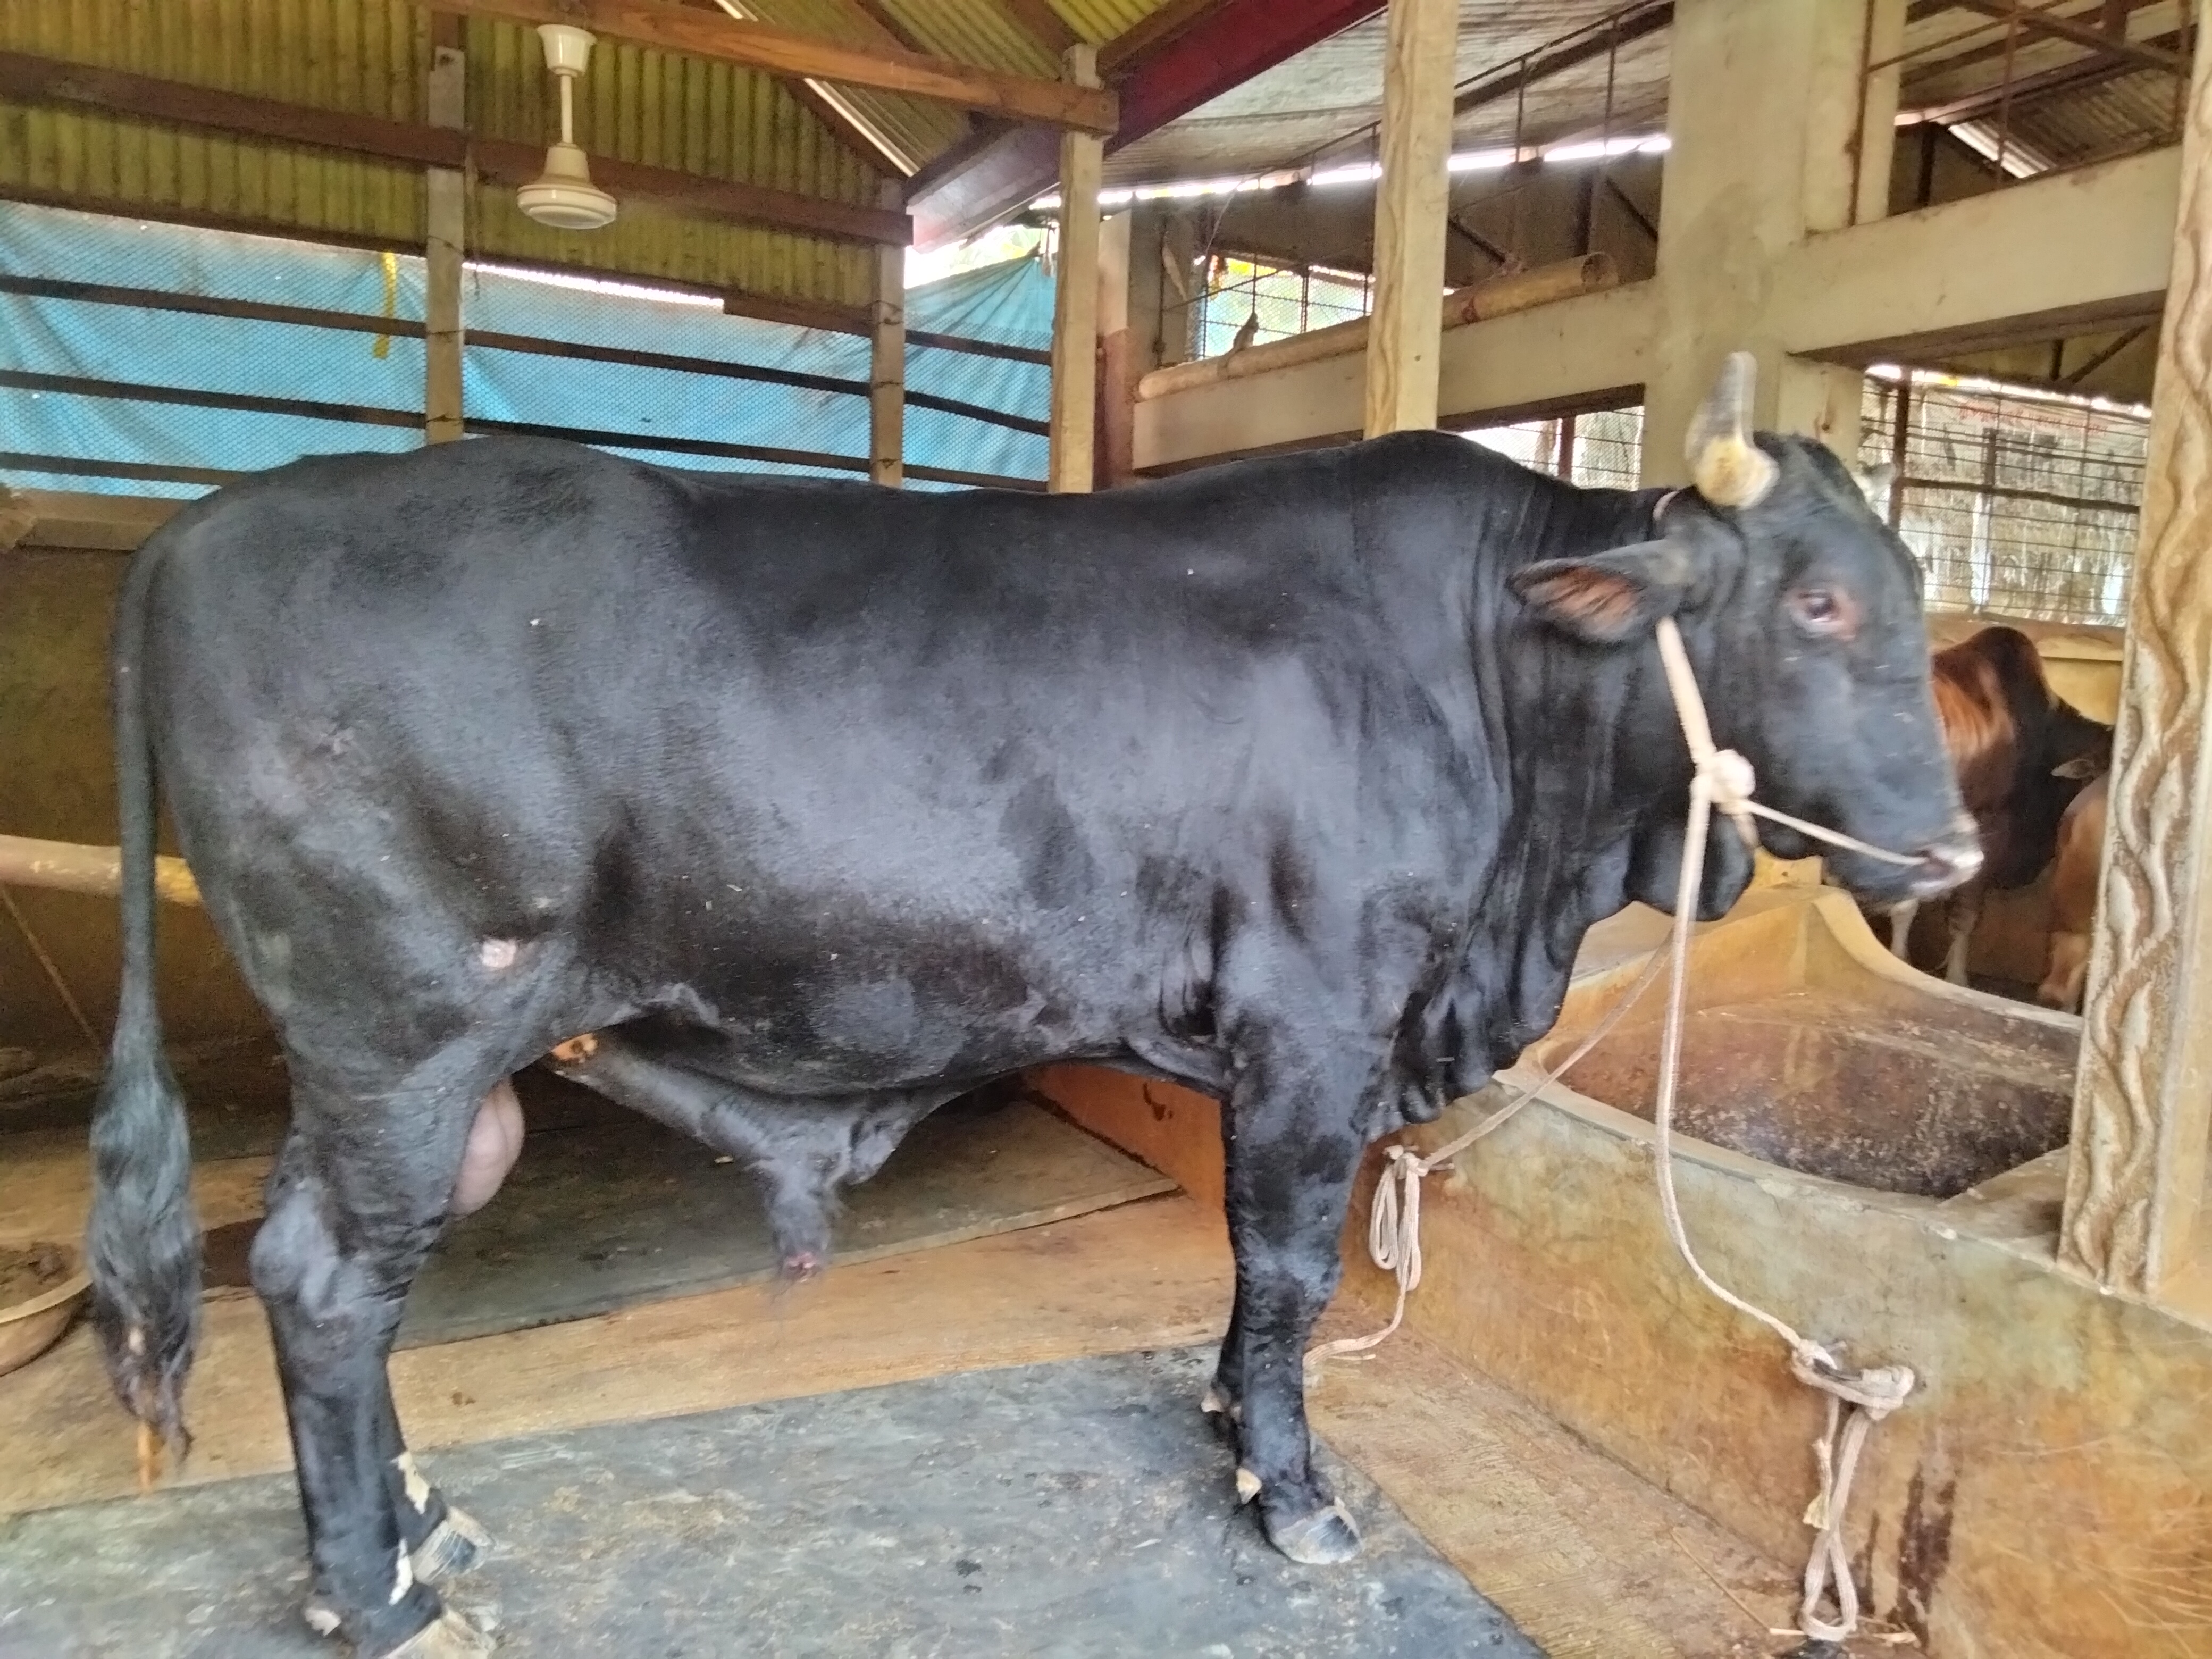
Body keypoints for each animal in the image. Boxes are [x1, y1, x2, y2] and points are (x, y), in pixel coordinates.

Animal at [85, 355, 1978, 1658]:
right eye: (1819, 599)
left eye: (1910, 592)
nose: (1956, 846)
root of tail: (201, 527)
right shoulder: (1317, 1015)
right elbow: (1292, 1258)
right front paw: (1294, 1493)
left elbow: (1252, 1270)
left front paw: (1230, 1425)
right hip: (403, 1036)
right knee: (327, 1287)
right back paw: (377, 1591)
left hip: (388, 1072)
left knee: (326, 1275)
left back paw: (418, 1524)